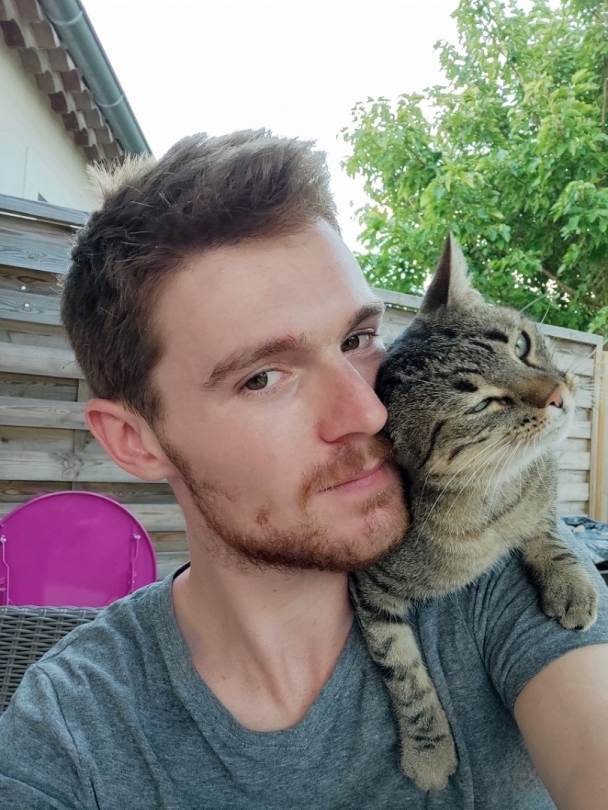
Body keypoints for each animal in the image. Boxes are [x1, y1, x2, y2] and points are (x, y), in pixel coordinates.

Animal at [349, 234, 599, 792]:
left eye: (521, 346)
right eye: (483, 404)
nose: (558, 396)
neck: (491, 499)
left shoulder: (541, 487)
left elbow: (547, 527)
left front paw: (569, 582)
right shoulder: (369, 588)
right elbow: (404, 674)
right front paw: (428, 750)